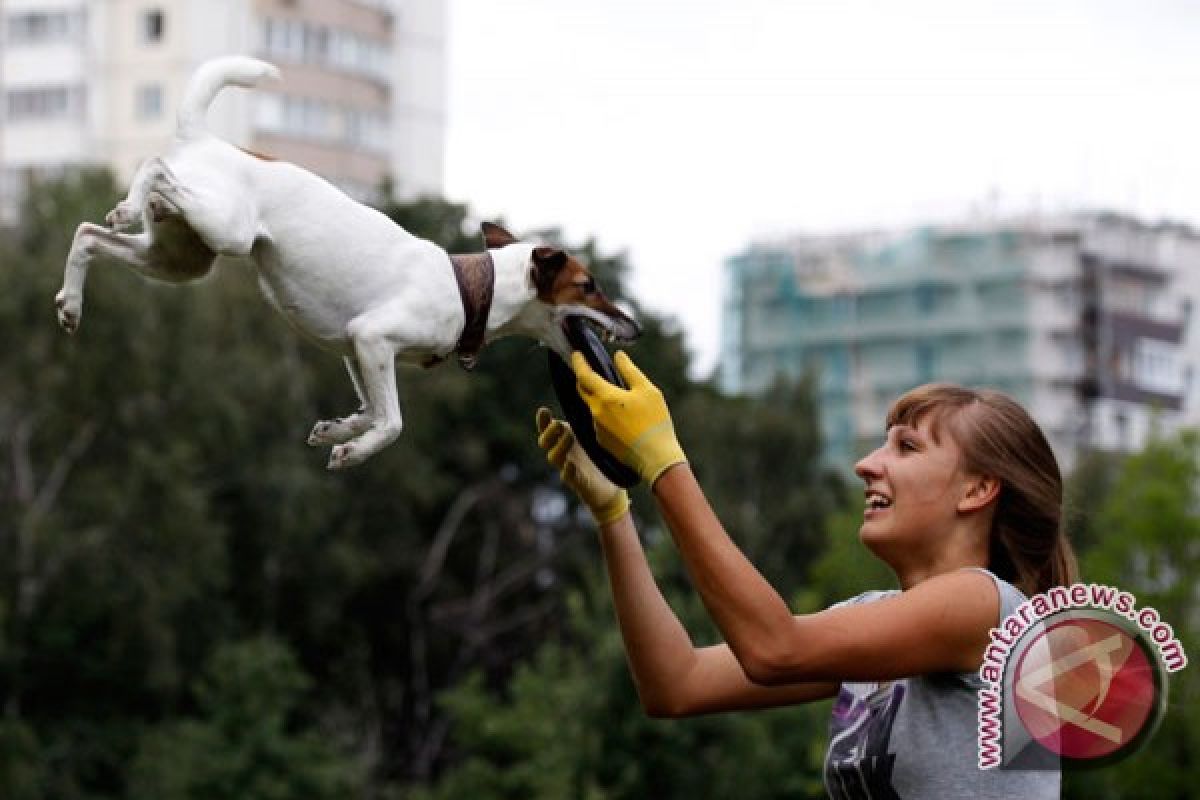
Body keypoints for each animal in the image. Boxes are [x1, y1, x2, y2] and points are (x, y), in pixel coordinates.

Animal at [58, 56, 638, 470]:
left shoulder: (356, 352)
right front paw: (351, 451)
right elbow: (393, 422)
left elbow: (371, 412)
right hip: (227, 229)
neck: (474, 288)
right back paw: (126, 206)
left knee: (88, 234)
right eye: (588, 285)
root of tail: (202, 137)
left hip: (181, 256)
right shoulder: (373, 338)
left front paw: (336, 431)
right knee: (154, 167)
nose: (634, 325)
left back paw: (71, 303)